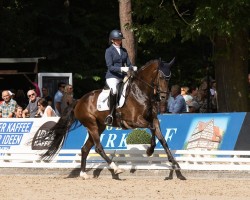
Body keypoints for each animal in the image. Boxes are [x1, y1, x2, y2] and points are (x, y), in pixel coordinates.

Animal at [39, 57, 181, 178]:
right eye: (161, 77)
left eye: (169, 77)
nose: (164, 97)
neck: (140, 92)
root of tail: (79, 100)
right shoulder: (135, 121)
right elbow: (152, 129)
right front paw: (150, 151)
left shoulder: (154, 120)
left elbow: (162, 138)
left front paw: (174, 163)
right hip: (92, 125)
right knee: (98, 147)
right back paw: (116, 168)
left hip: (99, 126)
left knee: (85, 148)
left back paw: (83, 174)